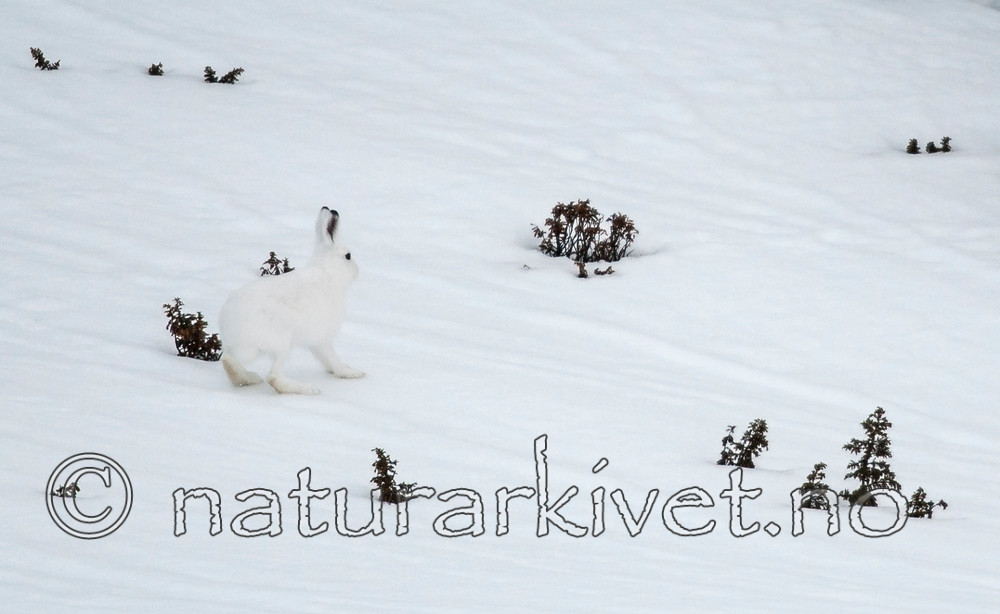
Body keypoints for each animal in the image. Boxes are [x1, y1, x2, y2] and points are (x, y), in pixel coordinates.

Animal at [218, 207, 364, 394]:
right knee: (273, 377)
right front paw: (350, 372)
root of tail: (231, 328)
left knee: (229, 361)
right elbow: (331, 356)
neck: (327, 271)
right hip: (281, 343)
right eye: (348, 256)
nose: (357, 270)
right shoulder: (322, 337)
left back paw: (249, 379)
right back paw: (307, 389)